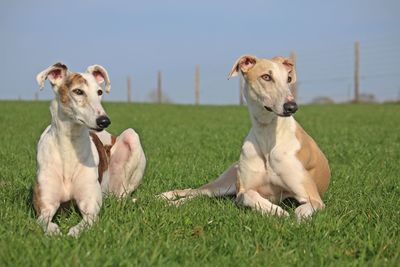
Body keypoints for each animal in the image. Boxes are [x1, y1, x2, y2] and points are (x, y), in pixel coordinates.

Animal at [32, 62, 145, 237]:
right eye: (78, 91)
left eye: (99, 92)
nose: (104, 121)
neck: (69, 148)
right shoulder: (44, 208)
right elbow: (46, 223)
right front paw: (55, 232)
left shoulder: (90, 208)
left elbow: (81, 226)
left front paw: (71, 234)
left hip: (131, 138)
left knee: (123, 194)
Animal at [161, 54, 330, 220]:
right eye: (266, 77)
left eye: (288, 79)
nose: (292, 107)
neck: (267, 135)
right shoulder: (243, 190)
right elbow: (248, 194)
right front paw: (277, 211)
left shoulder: (313, 197)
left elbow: (302, 210)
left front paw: (292, 217)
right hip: (224, 184)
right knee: (195, 191)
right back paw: (167, 197)